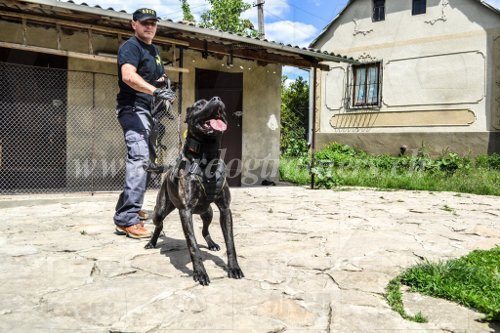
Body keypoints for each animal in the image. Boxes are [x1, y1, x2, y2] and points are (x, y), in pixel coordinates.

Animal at [145, 96, 244, 286]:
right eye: (199, 104)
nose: (217, 99)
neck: (207, 156)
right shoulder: (185, 211)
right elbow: (192, 245)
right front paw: (200, 273)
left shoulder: (224, 209)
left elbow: (230, 243)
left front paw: (234, 267)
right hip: (160, 210)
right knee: (159, 226)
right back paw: (152, 242)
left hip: (208, 212)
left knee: (205, 230)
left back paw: (212, 244)